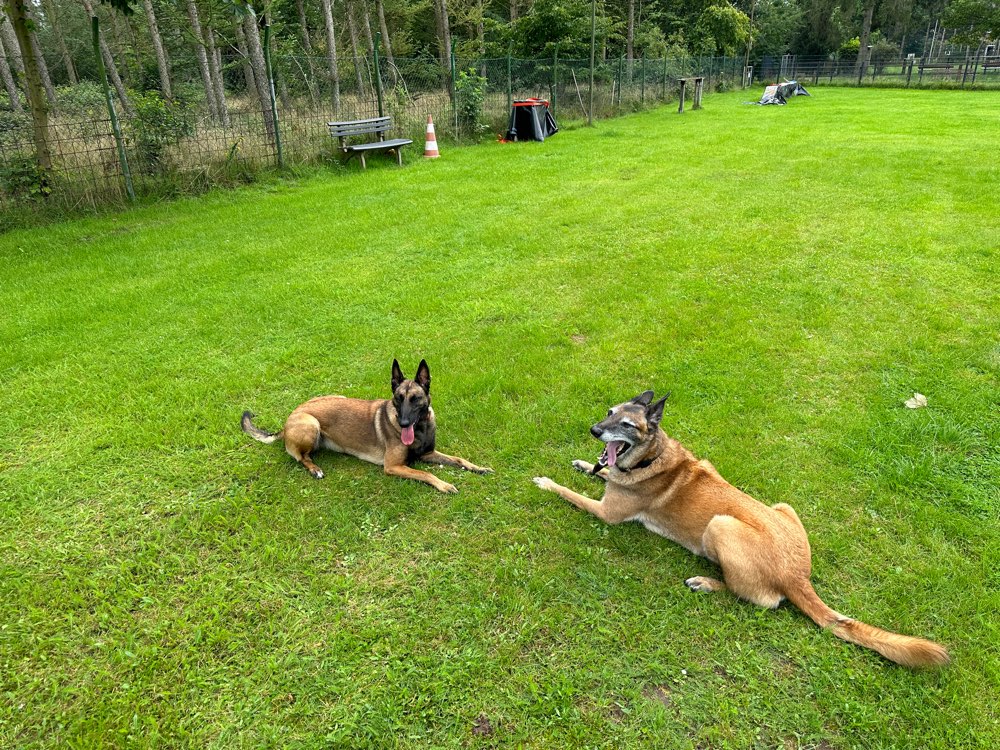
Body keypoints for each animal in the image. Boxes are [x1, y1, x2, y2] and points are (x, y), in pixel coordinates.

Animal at [242, 362, 492, 496]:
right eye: (398, 399)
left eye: (415, 399)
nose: (403, 423)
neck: (419, 427)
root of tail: (289, 419)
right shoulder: (394, 466)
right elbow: (425, 473)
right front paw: (444, 484)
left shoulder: (428, 453)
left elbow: (459, 459)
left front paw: (479, 468)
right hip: (311, 425)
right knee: (302, 457)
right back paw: (315, 469)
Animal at [532, 394, 944, 668]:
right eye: (609, 413)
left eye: (626, 426)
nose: (594, 430)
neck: (652, 456)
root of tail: (797, 575)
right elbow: (595, 472)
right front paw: (582, 463)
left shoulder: (605, 512)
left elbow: (569, 492)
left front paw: (546, 481)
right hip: (783, 506)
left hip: (721, 525)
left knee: (759, 599)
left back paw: (706, 582)